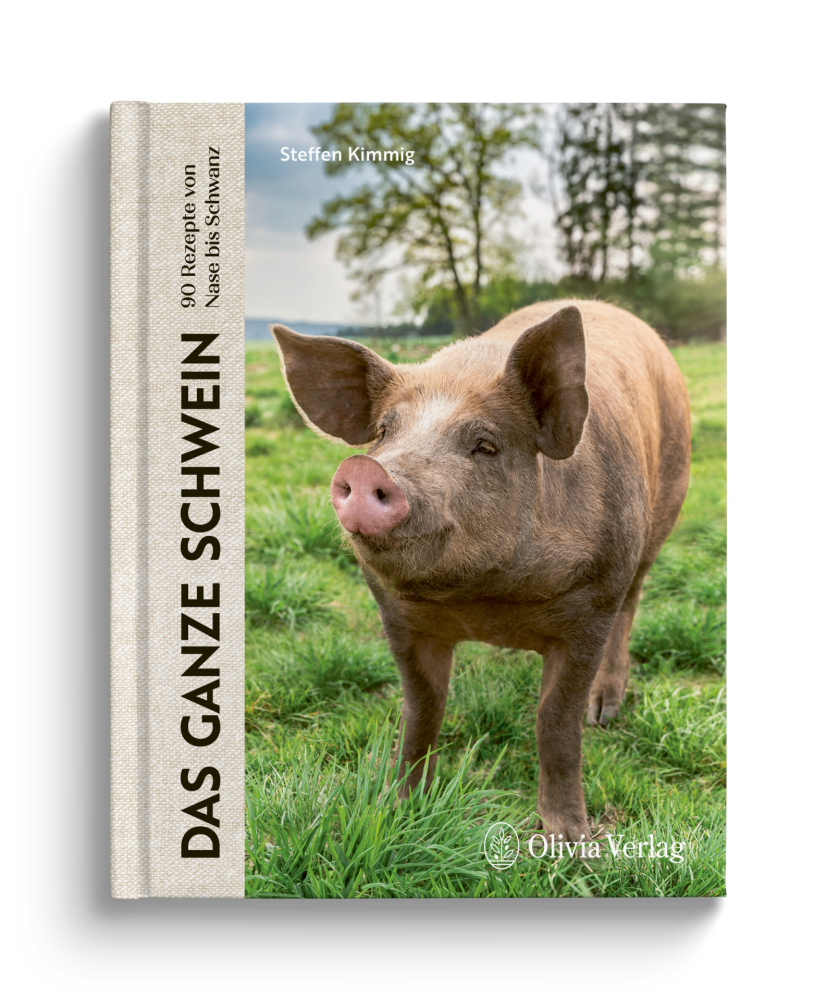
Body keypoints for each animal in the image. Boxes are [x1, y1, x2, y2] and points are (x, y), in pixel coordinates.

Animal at [271, 300, 691, 844]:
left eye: (486, 444)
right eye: (384, 431)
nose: (365, 469)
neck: (487, 601)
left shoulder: (591, 608)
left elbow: (556, 723)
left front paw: (567, 842)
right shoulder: (398, 617)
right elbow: (421, 709)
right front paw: (397, 807)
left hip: (656, 523)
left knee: (632, 605)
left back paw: (605, 713)